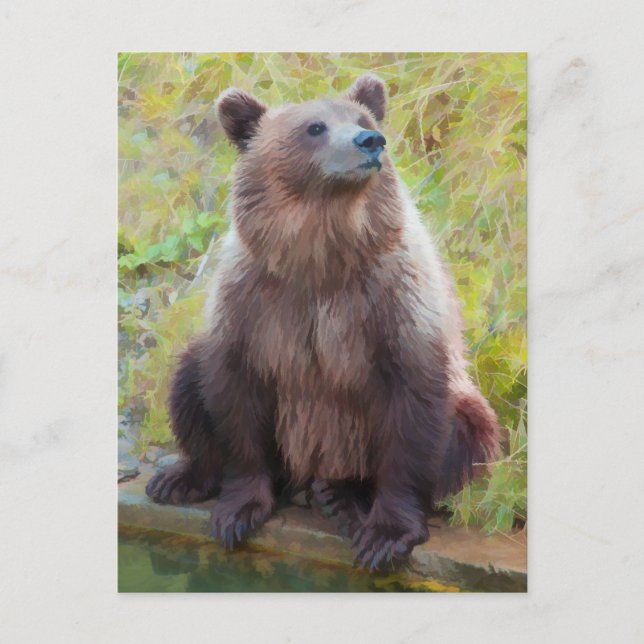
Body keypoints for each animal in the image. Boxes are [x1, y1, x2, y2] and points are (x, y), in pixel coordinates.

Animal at [145, 74, 500, 571]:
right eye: (314, 127)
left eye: (363, 118)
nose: (370, 141)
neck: (320, 254)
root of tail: (305, 477)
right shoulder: (254, 304)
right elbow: (236, 398)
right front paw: (237, 510)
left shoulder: (391, 303)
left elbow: (412, 412)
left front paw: (385, 535)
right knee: (187, 378)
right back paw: (180, 478)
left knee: (469, 432)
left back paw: (341, 495)